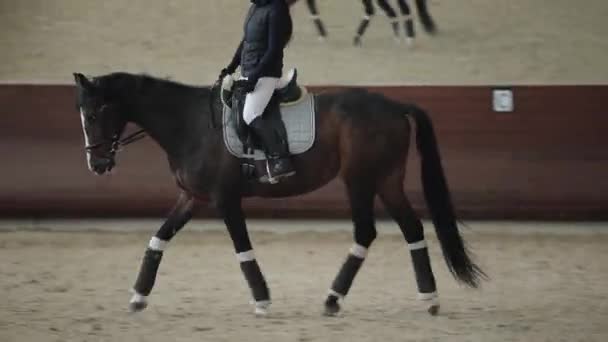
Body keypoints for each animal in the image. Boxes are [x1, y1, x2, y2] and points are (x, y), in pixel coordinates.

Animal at [73, 73, 486, 318]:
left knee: (366, 232)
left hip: (360, 179)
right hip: (386, 180)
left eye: (93, 114)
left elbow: (242, 250)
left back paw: (334, 298)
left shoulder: (224, 199)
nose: (97, 163)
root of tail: (396, 105)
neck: (190, 124)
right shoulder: (193, 197)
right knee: (412, 228)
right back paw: (428, 298)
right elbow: (158, 239)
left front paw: (261, 299)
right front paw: (138, 295)